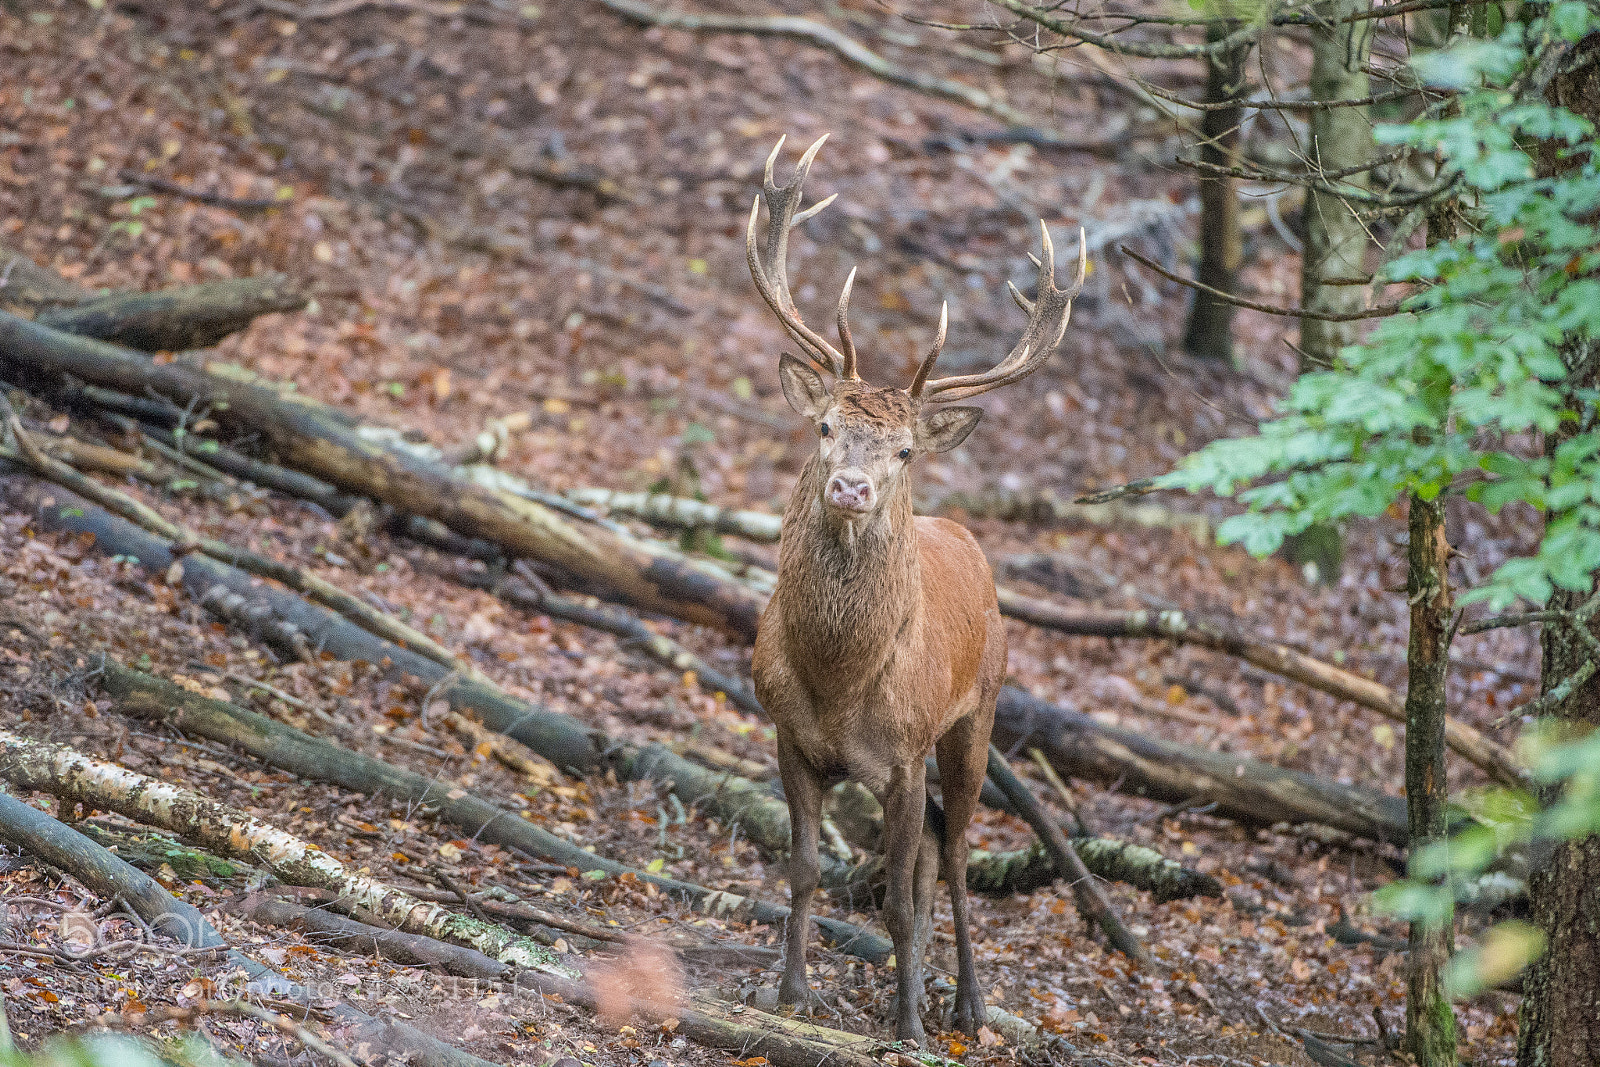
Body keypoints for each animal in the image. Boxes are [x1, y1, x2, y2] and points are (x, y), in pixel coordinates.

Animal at [746, 135, 1085, 1045]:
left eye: (904, 450)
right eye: (825, 426)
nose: (852, 487)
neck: (837, 680)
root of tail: (966, 538)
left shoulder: (901, 753)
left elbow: (897, 900)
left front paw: (908, 1025)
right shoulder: (789, 735)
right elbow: (803, 869)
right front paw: (792, 991)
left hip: (978, 713)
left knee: (958, 849)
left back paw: (964, 998)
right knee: (935, 845)